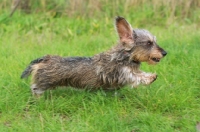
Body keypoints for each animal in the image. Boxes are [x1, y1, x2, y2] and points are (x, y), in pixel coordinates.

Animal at [20, 16, 167, 96]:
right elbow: (136, 76)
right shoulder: (122, 73)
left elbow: (139, 73)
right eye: (149, 43)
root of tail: (45, 59)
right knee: (35, 88)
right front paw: (150, 78)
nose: (165, 53)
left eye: (154, 41)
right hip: (44, 82)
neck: (124, 57)